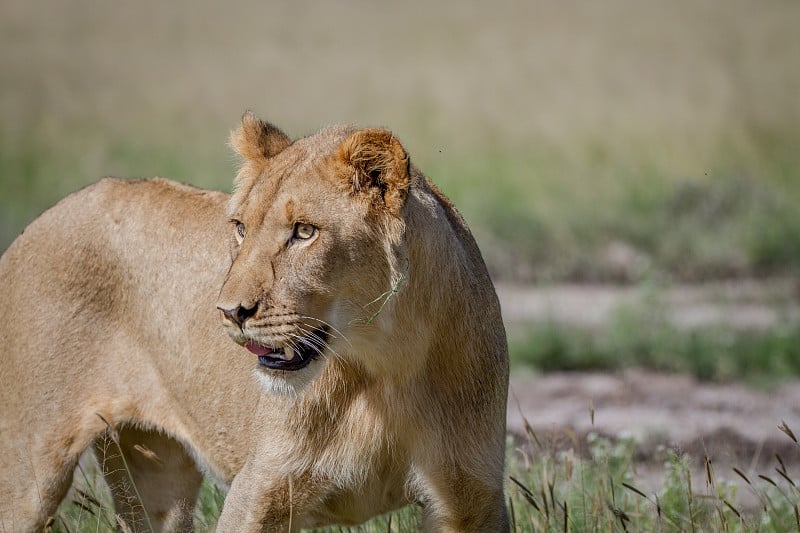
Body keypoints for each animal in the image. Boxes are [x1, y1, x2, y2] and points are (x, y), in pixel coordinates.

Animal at [0, 113, 510, 532]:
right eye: (241, 228)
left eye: (304, 232)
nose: (230, 312)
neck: (386, 364)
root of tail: (39, 220)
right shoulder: (259, 489)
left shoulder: (473, 499)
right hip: (27, 472)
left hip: (158, 476)